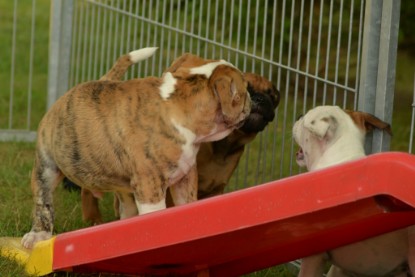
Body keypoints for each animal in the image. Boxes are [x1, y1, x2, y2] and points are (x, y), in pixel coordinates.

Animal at [22, 48, 250, 248]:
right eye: (245, 88)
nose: (251, 99)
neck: (181, 103)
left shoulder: (185, 179)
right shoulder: (150, 186)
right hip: (46, 166)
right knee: (43, 202)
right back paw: (38, 235)